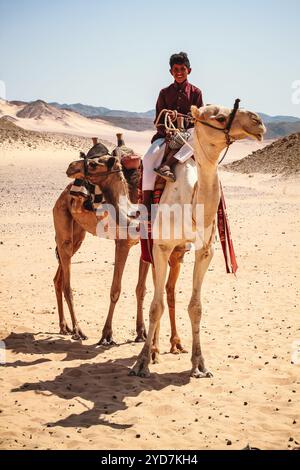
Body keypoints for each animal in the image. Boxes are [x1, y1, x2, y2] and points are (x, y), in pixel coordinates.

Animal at [52, 144, 186, 352]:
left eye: (94, 164)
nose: (71, 167)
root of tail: (62, 196)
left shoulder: (143, 247)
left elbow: (141, 289)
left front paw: (141, 333)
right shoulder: (122, 243)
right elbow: (115, 290)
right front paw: (107, 335)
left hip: (77, 237)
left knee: (58, 278)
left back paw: (64, 326)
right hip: (63, 229)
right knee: (67, 283)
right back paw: (78, 330)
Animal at [130, 103, 266, 378]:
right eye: (220, 117)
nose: (258, 122)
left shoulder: (205, 250)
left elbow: (196, 307)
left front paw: (200, 364)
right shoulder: (161, 246)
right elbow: (155, 306)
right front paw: (141, 363)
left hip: (179, 251)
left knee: (169, 290)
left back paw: (171, 345)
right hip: (151, 244)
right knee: (152, 290)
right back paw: (153, 351)